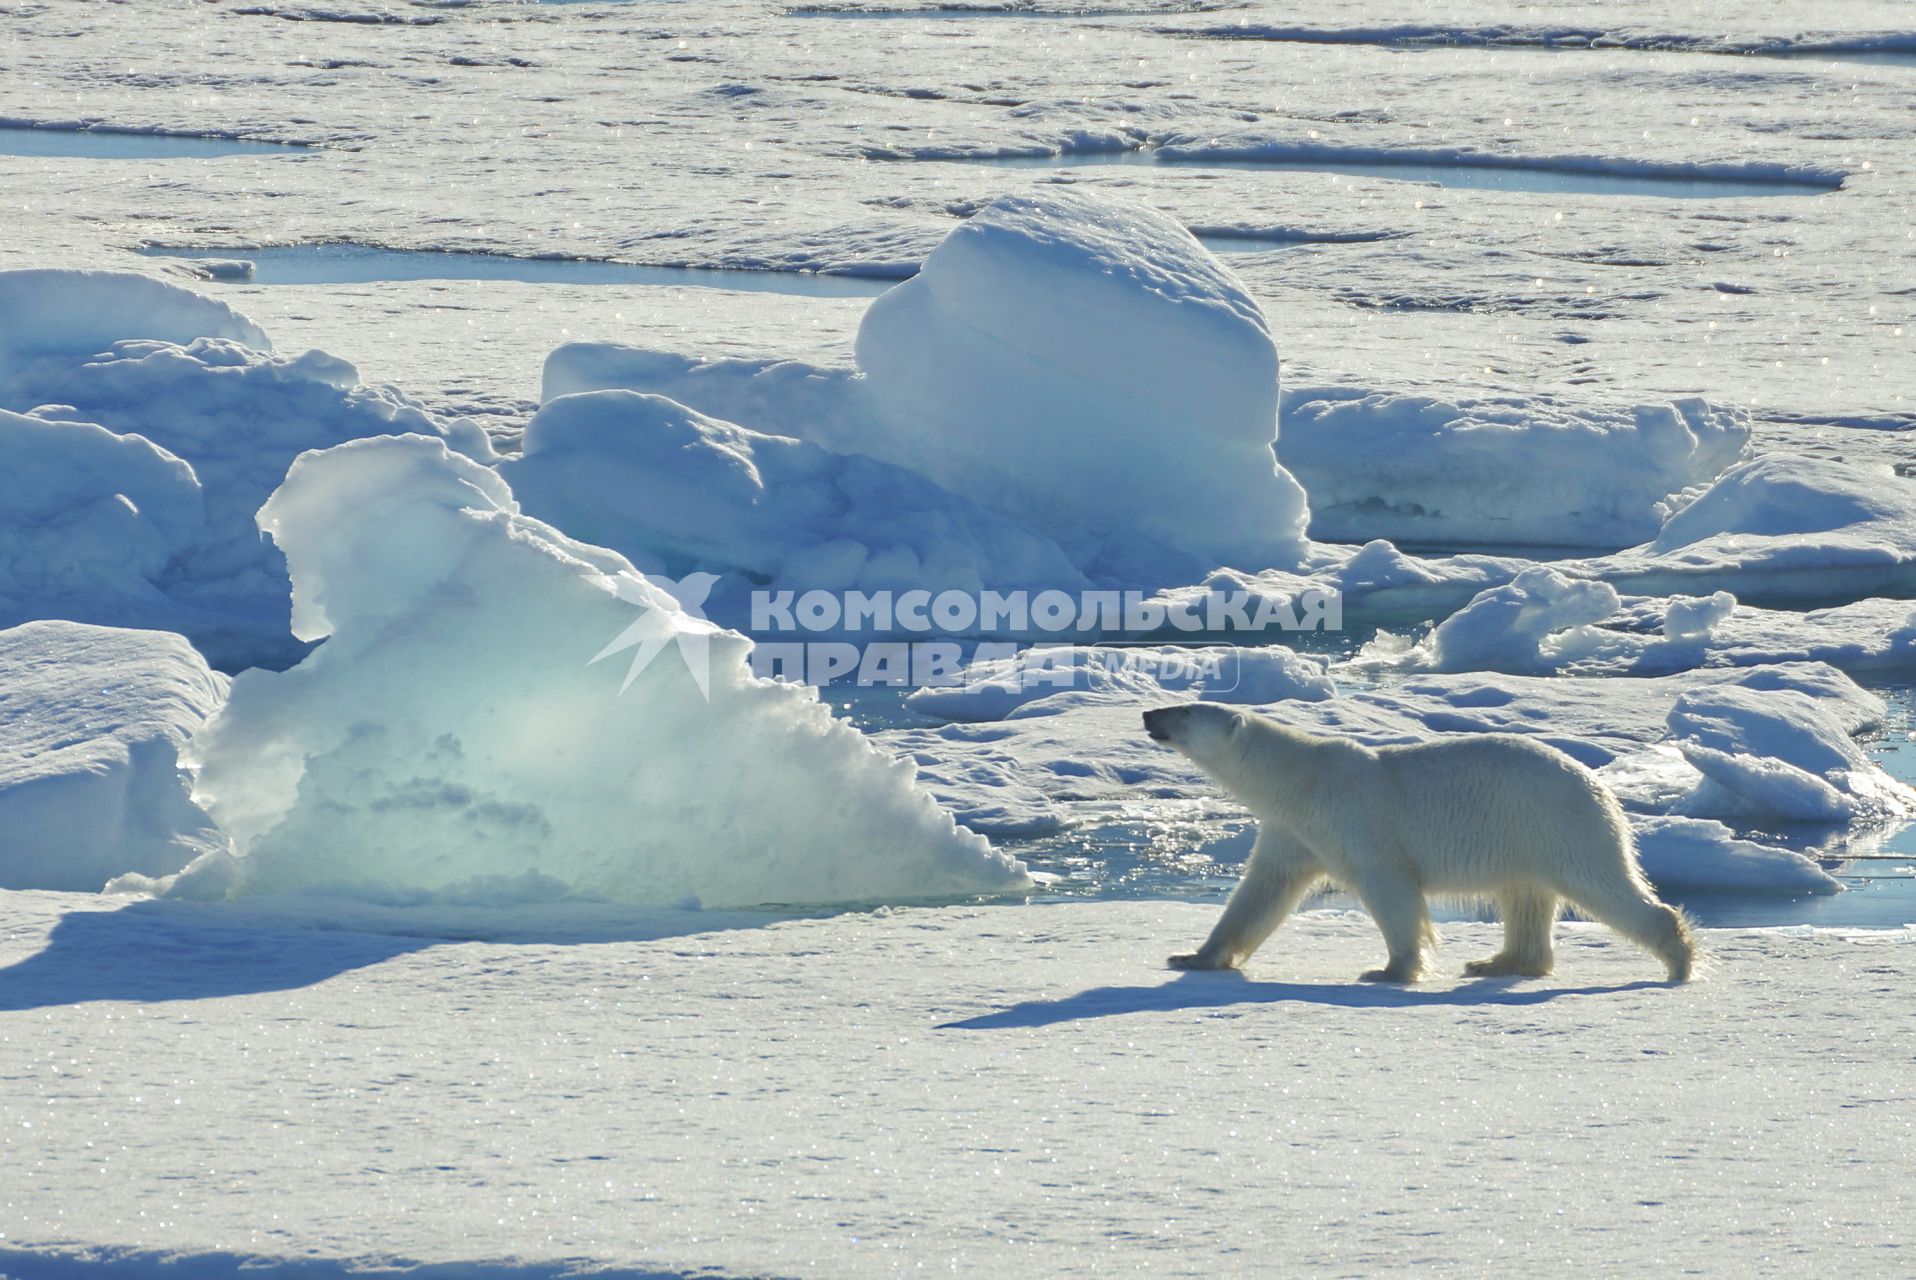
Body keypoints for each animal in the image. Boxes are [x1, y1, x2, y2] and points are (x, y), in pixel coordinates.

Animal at [1134, 705, 1693, 988]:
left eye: (1183, 711)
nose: (1147, 713)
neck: (1300, 778)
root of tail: (1599, 784)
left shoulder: (1353, 816)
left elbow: (1390, 886)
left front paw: (1389, 971)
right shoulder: (1291, 830)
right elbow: (1261, 892)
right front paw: (1193, 957)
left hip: (1558, 824)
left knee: (1602, 886)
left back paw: (1678, 959)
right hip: (1525, 836)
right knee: (1525, 898)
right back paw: (1498, 963)